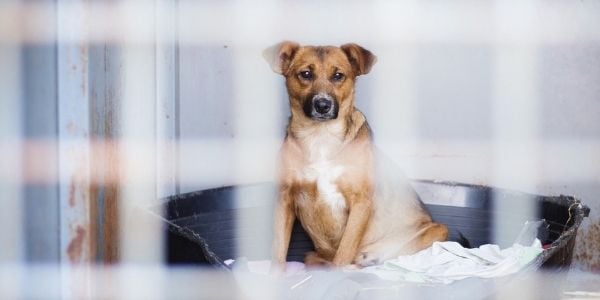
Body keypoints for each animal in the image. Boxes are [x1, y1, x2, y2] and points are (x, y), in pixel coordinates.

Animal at [264, 41, 448, 268]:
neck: (320, 138)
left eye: (338, 75)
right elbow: (278, 251)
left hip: (437, 229)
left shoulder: (360, 203)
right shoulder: (284, 199)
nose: (323, 105)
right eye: (305, 74)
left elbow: (344, 253)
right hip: (311, 255)